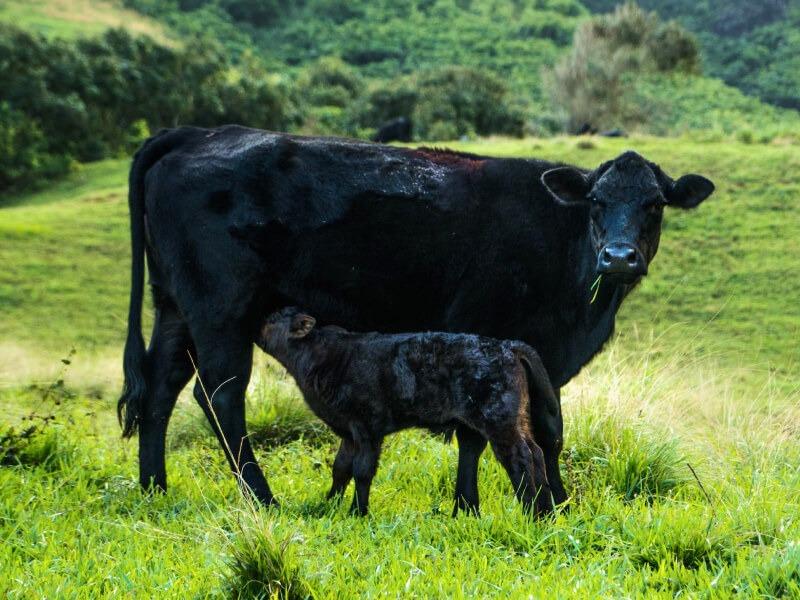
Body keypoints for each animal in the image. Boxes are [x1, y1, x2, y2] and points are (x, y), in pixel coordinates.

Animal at [256, 308, 556, 516]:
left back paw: (531, 513)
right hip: (516, 420)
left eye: (272, 320)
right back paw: (546, 515)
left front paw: (357, 512)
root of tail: (508, 346)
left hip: (499, 421)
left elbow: (362, 470)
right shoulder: (349, 432)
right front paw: (329, 504)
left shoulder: (367, 428)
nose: (255, 328)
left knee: (520, 457)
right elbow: (340, 468)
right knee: (536, 452)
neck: (326, 357)